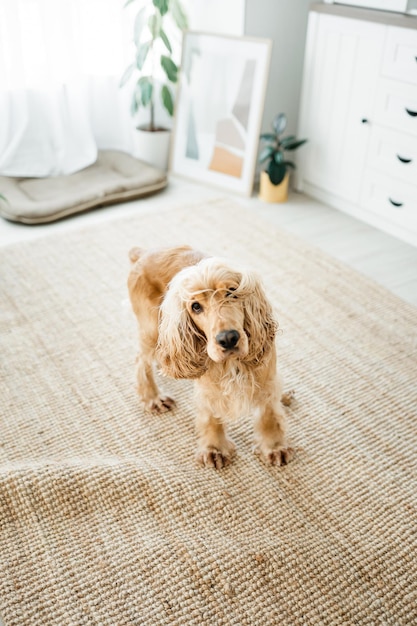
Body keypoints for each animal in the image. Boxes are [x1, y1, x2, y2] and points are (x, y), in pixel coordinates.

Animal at [127, 246, 292, 466]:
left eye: (231, 292)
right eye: (195, 306)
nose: (228, 339)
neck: (233, 364)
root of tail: (144, 253)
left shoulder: (266, 376)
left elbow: (268, 413)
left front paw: (274, 447)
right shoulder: (208, 386)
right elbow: (211, 415)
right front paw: (215, 449)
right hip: (152, 329)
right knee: (141, 361)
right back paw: (153, 398)